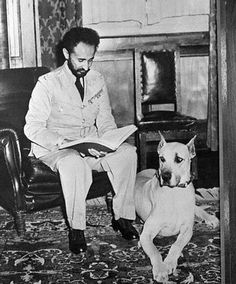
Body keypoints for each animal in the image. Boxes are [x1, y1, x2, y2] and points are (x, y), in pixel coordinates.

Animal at [135, 134, 219, 282]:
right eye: (162, 158)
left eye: (179, 159)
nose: (165, 176)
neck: (174, 193)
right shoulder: (147, 233)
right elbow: (155, 251)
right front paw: (160, 270)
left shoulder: (187, 230)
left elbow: (176, 245)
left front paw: (169, 263)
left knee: (197, 208)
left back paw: (211, 218)